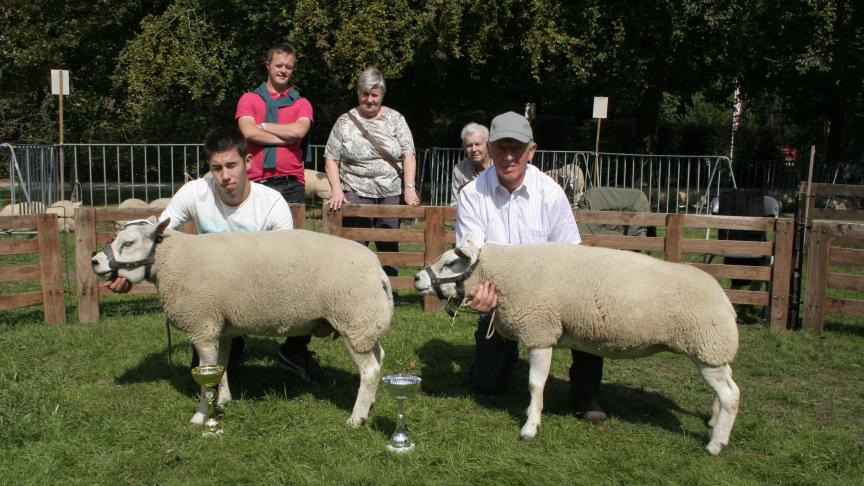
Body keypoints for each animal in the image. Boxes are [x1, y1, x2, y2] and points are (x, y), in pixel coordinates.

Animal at [93, 218, 394, 428]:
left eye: (128, 243)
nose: (94, 261)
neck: (173, 260)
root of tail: (379, 272)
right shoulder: (220, 327)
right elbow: (221, 366)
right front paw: (224, 400)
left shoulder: (202, 324)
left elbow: (206, 379)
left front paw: (201, 417)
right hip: (368, 324)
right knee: (380, 358)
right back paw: (370, 403)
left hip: (353, 320)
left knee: (369, 371)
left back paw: (356, 418)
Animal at [416, 243, 740, 456]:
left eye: (450, 263)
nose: (417, 278)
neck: (504, 272)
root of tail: (724, 299)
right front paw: (531, 414)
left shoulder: (540, 330)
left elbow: (535, 384)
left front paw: (530, 427)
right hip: (711, 351)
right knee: (728, 385)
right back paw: (713, 421)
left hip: (707, 344)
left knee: (731, 395)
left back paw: (716, 444)